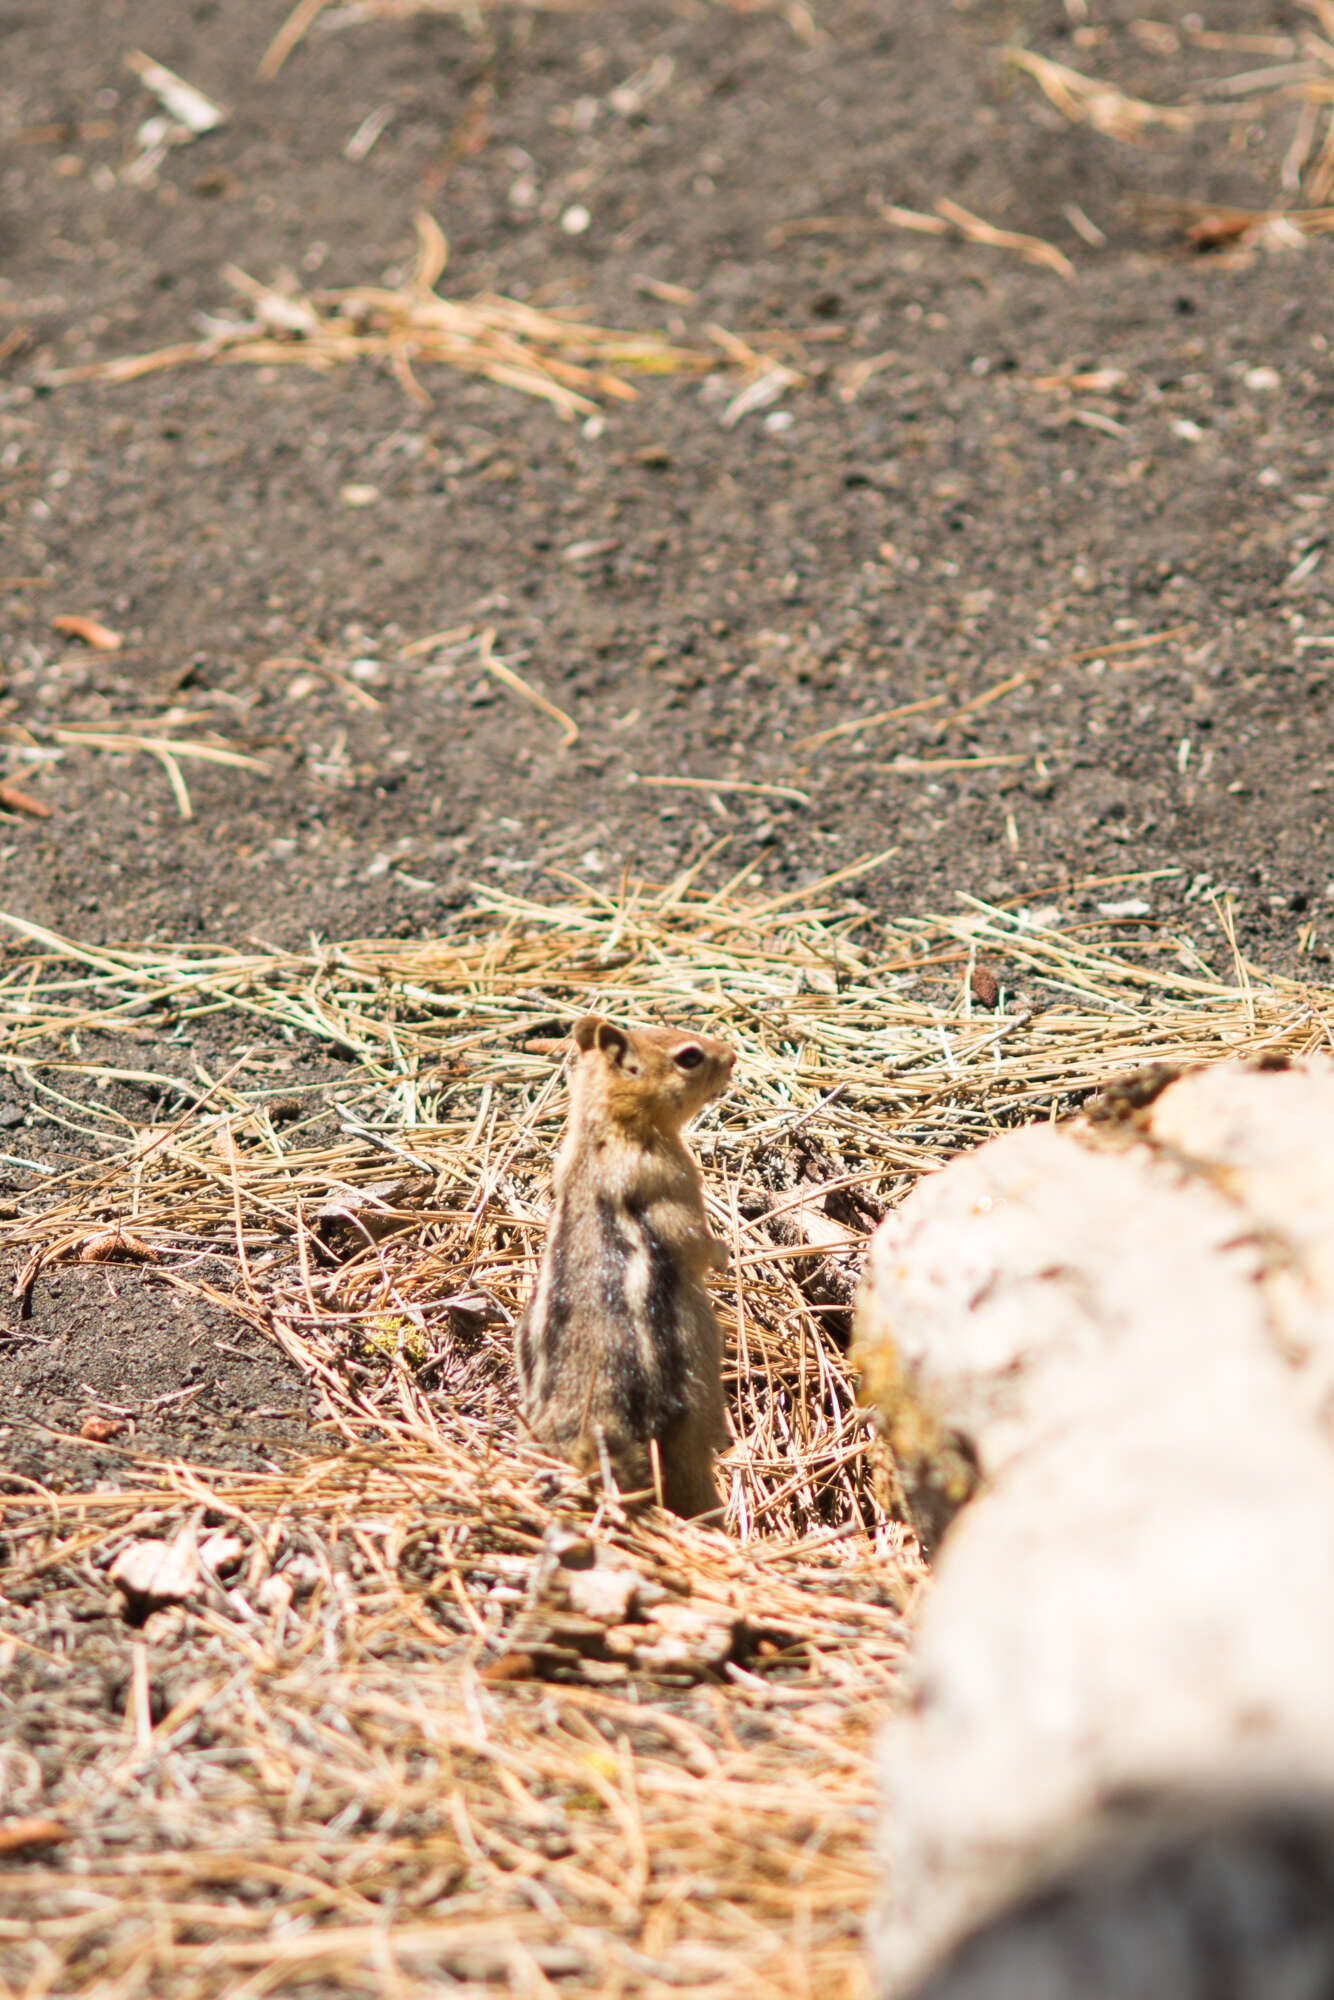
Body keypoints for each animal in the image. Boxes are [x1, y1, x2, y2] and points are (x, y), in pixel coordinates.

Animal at [516, 1016, 736, 1512]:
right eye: (689, 1056)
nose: (733, 1055)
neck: (599, 1133)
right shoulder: (671, 1184)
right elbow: (692, 1241)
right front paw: (723, 1253)